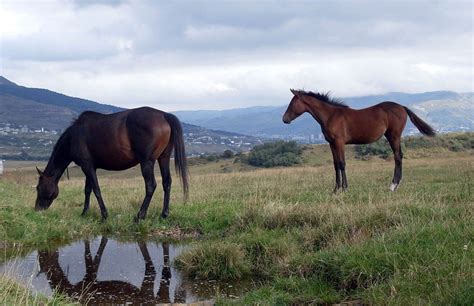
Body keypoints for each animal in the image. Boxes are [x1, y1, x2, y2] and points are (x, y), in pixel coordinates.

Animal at [34, 107, 189, 220]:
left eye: (38, 187)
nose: (37, 209)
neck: (73, 137)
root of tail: (164, 115)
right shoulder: (90, 167)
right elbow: (88, 190)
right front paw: (84, 213)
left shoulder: (87, 166)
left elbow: (96, 190)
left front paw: (104, 215)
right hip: (163, 158)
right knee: (166, 183)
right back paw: (164, 214)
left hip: (147, 162)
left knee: (151, 186)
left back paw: (140, 215)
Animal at [284, 88, 436, 192]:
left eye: (292, 103)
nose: (284, 119)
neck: (331, 116)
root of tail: (402, 107)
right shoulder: (332, 144)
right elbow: (335, 164)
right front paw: (335, 189)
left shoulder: (339, 142)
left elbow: (342, 163)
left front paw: (344, 188)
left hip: (394, 135)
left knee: (398, 157)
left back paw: (393, 185)